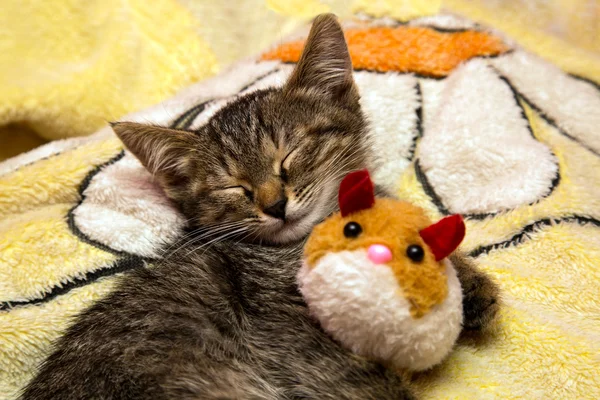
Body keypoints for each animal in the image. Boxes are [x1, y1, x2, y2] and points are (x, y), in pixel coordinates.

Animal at [19, 14, 496, 398]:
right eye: (234, 187)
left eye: (288, 155)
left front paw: (468, 283)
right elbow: (349, 379)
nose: (276, 204)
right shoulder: (289, 330)